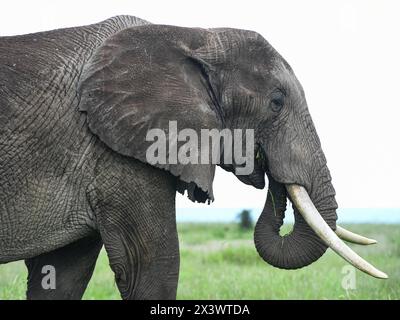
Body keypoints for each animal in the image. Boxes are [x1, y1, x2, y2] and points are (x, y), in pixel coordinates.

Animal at [0, 15, 388, 300]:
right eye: (277, 103)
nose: (266, 169)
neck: (194, 36)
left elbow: (62, 274)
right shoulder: (116, 151)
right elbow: (152, 266)